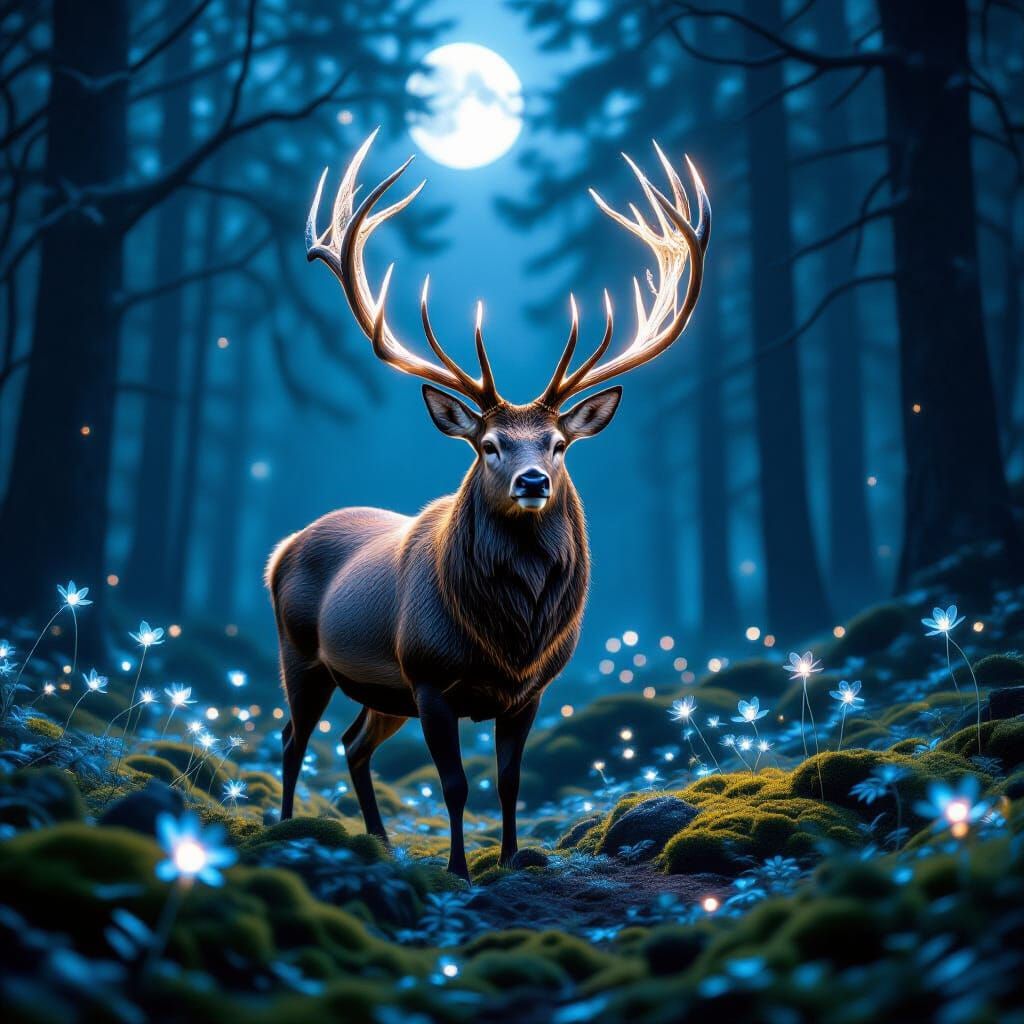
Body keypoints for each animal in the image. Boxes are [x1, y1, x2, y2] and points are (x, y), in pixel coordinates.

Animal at [266, 130, 709, 879]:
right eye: (489, 444)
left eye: (558, 443)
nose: (532, 482)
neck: (509, 640)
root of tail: (279, 549)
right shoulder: (429, 677)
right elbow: (454, 784)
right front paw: (458, 869)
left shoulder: (529, 692)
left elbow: (508, 782)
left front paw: (508, 858)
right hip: (302, 652)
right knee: (294, 737)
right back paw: (290, 828)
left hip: (381, 689)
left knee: (353, 743)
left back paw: (378, 842)